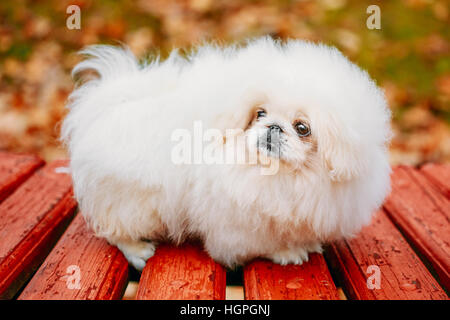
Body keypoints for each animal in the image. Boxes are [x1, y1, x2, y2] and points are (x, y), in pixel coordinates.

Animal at [61, 38, 392, 272]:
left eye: (302, 128)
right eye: (260, 113)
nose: (273, 126)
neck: (283, 177)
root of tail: (104, 105)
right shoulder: (238, 224)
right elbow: (261, 244)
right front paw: (288, 252)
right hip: (134, 202)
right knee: (113, 229)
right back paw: (138, 250)